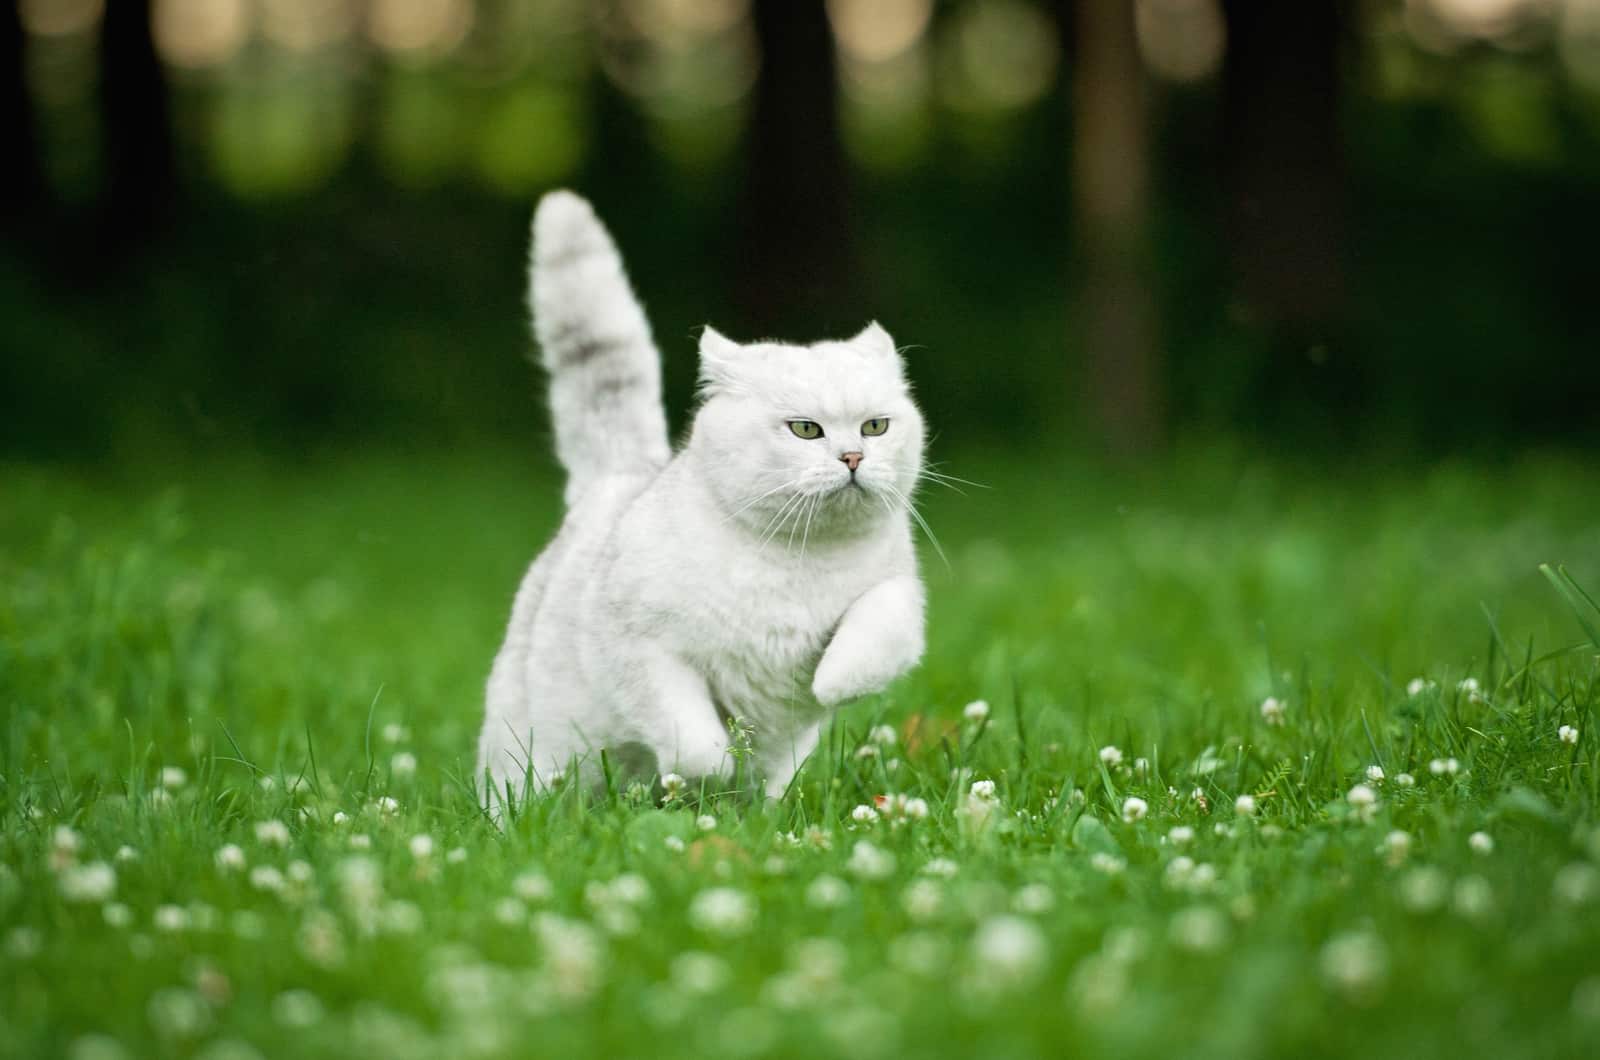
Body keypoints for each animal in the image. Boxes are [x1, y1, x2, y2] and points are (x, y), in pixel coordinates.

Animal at [473, 192, 928, 807]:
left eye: (875, 426)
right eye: (805, 430)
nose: (853, 457)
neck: (800, 556)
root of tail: (622, 476)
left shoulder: (898, 598)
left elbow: (867, 642)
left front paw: (826, 684)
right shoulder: (644, 652)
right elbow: (695, 745)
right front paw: (700, 780)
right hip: (527, 753)